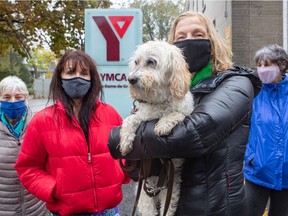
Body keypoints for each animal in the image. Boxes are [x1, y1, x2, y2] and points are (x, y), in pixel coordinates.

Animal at [118, 40, 195, 216]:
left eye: (151, 62)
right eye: (136, 62)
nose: (131, 79)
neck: (158, 103)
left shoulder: (185, 113)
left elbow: (175, 114)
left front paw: (163, 124)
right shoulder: (141, 117)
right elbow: (131, 119)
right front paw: (125, 141)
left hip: (171, 191)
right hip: (144, 194)